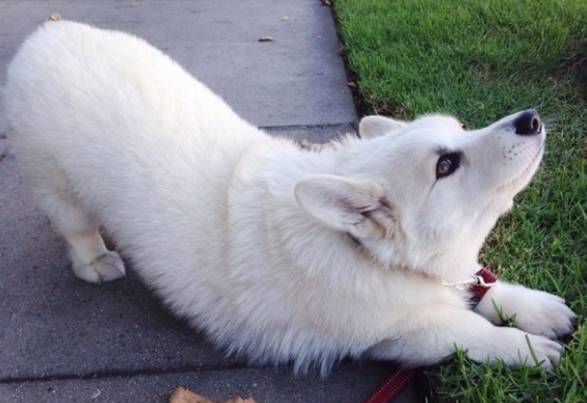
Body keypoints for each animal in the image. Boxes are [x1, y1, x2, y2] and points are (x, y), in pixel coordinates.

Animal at [3, 21, 576, 376]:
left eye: (460, 128)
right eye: (445, 166)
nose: (530, 119)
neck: (369, 257)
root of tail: (48, 33)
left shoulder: (451, 276)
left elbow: (482, 285)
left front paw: (538, 310)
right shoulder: (404, 336)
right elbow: (469, 330)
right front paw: (528, 348)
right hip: (57, 186)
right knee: (76, 228)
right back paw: (96, 260)